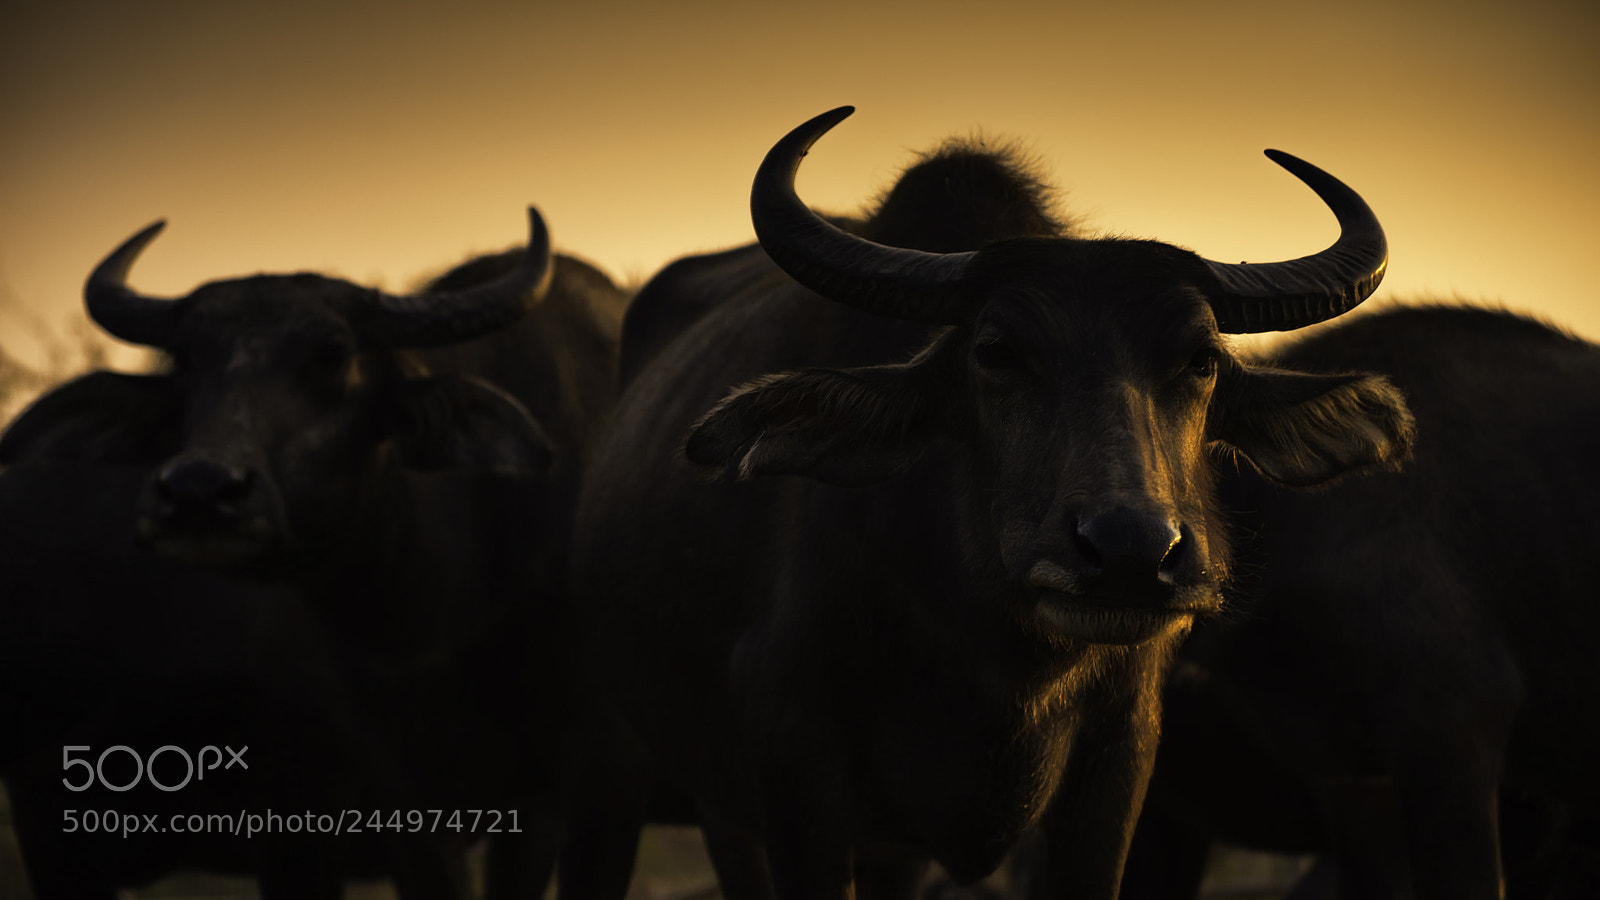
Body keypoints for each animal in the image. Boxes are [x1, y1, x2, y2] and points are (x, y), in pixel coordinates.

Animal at [571, 107, 1413, 900]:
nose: (1130, 552)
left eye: (1201, 359)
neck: (995, 667)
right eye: (997, 352)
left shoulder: (1117, 773)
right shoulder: (795, 782)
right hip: (627, 768)